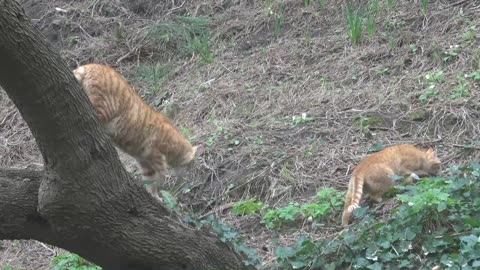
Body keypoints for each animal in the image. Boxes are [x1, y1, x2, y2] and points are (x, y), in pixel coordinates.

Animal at [73, 63, 202, 196]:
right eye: (191, 165)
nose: (188, 176)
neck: (173, 142)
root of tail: (89, 66)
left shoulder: (144, 162)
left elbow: (149, 183)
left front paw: (154, 196)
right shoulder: (157, 158)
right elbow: (159, 177)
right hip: (103, 108)